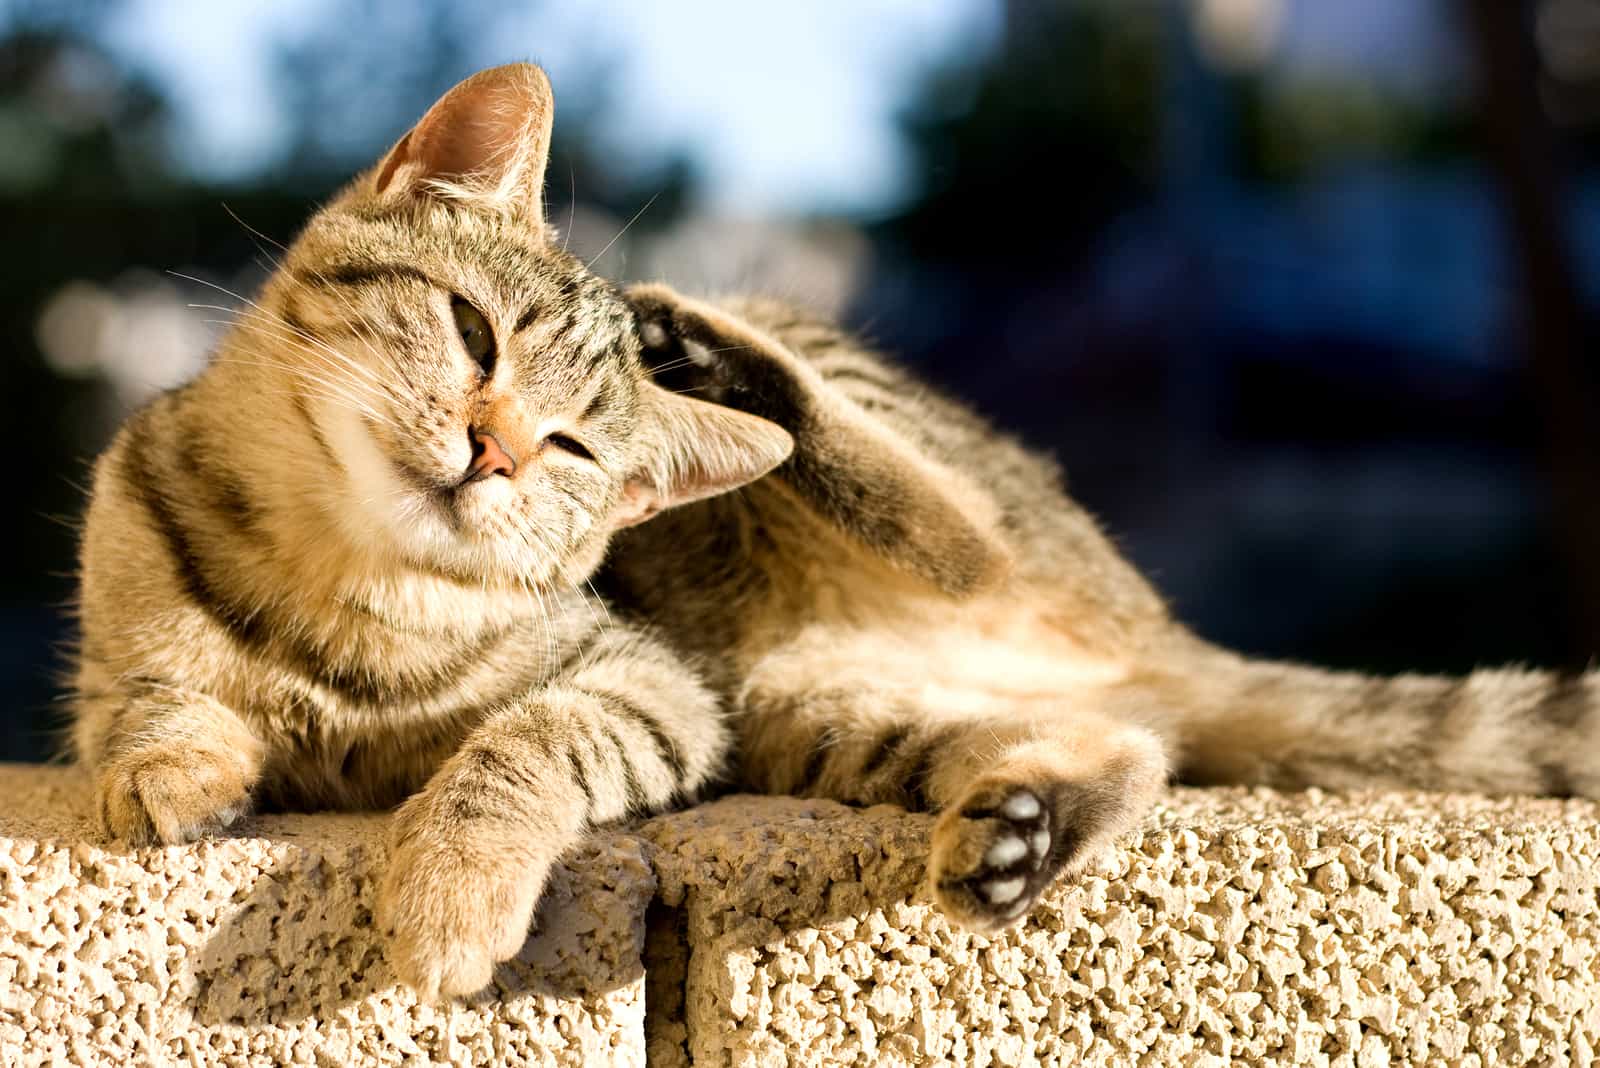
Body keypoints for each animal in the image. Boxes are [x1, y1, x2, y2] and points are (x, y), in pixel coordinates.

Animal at [75, 64, 1600, 1004]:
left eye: (574, 449)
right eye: (470, 331)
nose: (495, 448)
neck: (331, 583)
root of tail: (1151, 632)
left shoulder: (648, 690)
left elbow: (517, 749)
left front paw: (451, 893)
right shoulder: (120, 589)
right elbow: (147, 691)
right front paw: (174, 763)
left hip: (877, 544)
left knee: (965, 534)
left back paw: (726, 365)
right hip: (813, 713)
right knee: (1128, 745)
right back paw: (1023, 830)